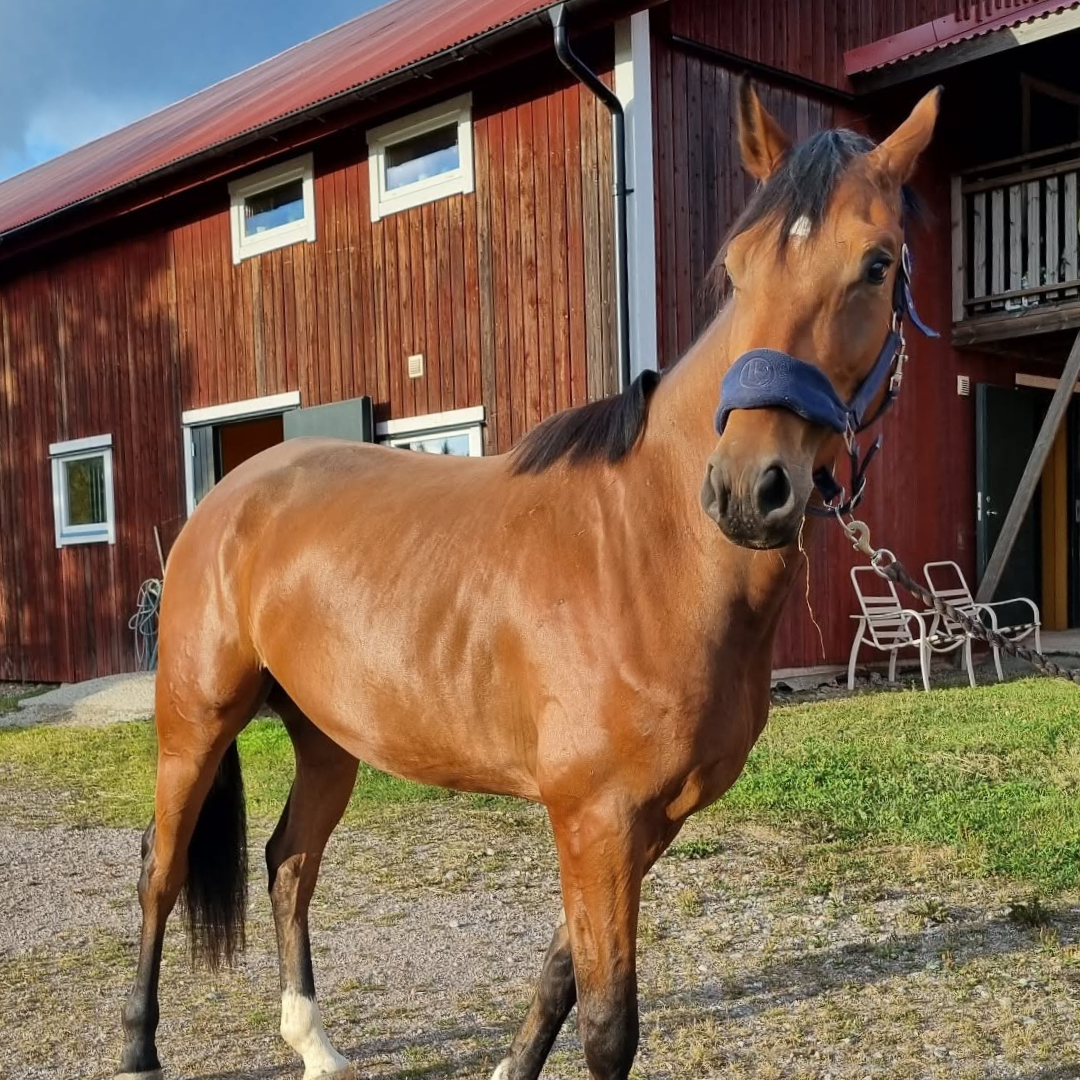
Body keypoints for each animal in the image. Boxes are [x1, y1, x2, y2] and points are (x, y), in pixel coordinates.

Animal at [114, 80, 941, 1080]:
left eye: (877, 264)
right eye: (737, 270)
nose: (749, 488)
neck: (649, 551)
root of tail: (229, 495)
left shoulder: (638, 822)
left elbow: (559, 976)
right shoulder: (597, 817)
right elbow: (608, 1024)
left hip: (327, 738)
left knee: (288, 864)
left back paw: (314, 1043)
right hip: (194, 723)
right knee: (161, 868)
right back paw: (139, 1048)